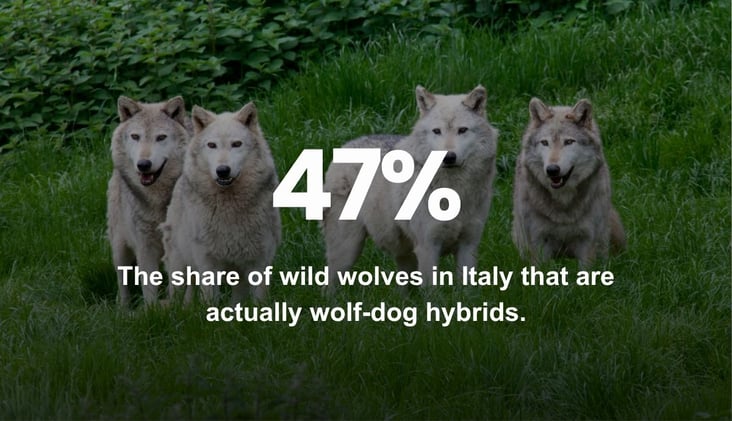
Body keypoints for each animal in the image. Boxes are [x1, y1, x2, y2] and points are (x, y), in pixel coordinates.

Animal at [107, 95, 189, 306]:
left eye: (161, 138)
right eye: (136, 136)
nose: (143, 165)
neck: (157, 201)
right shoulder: (145, 246)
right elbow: (149, 287)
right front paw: (152, 311)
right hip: (119, 248)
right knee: (122, 282)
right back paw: (123, 309)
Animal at [161, 102, 281, 304]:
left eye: (236, 144)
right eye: (212, 145)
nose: (223, 170)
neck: (229, 207)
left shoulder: (259, 261)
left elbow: (259, 300)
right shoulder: (207, 262)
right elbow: (210, 301)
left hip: (237, 277)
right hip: (179, 266)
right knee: (176, 296)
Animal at [322, 85, 499, 291]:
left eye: (462, 130)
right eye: (437, 131)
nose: (448, 157)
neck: (455, 189)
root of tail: (346, 145)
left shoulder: (468, 246)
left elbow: (467, 291)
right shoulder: (428, 247)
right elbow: (432, 292)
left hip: (404, 255)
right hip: (347, 250)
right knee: (328, 286)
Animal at [512, 97, 626, 267]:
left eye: (569, 142)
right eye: (544, 143)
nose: (552, 169)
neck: (563, 204)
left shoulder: (588, 242)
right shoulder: (538, 243)